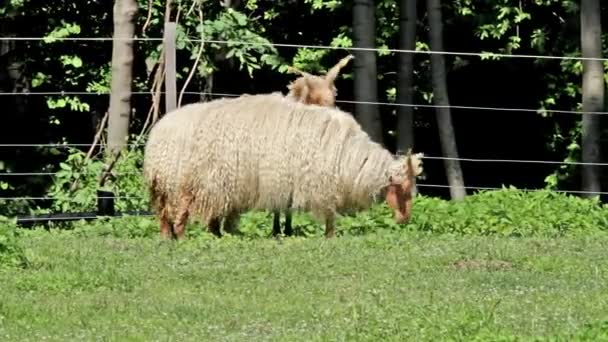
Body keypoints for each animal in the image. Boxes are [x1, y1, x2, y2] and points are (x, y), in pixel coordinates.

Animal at [142, 92, 422, 239]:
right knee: (182, 211)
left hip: (176, 185)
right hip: (193, 181)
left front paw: (283, 232)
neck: (349, 157)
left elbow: (284, 210)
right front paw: (328, 236)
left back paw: (175, 237)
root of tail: (161, 132)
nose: (405, 220)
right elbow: (327, 213)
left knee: (168, 214)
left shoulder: (286, 178)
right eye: (402, 190)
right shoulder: (318, 182)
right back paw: (184, 237)